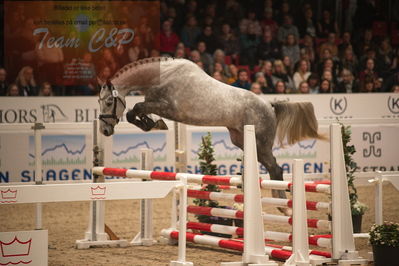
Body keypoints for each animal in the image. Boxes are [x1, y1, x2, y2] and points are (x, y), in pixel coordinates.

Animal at [97, 57, 324, 214]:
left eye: (108, 102)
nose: (104, 131)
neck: (162, 76)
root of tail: (270, 105)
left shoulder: (168, 108)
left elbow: (135, 109)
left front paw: (153, 124)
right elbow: (135, 111)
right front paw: (150, 123)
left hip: (260, 143)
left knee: (276, 168)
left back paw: (284, 206)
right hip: (241, 140)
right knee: (271, 167)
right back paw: (279, 204)